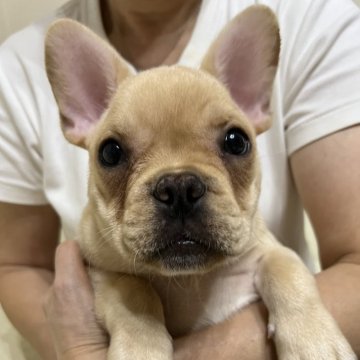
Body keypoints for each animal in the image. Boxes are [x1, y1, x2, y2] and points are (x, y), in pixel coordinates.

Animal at [45, 5, 358, 360]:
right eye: (110, 153)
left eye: (237, 142)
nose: (179, 187)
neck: (191, 280)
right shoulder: (101, 271)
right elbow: (134, 288)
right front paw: (141, 349)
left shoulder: (266, 249)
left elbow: (286, 268)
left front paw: (314, 340)